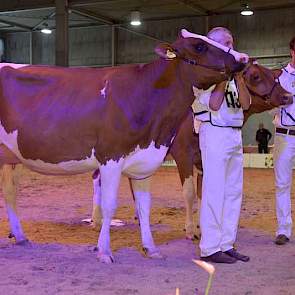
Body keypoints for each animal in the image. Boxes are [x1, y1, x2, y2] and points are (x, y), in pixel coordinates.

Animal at [0, 30, 249, 264]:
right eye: (199, 46)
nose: (243, 57)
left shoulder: (144, 161)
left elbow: (144, 207)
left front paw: (151, 249)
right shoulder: (110, 157)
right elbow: (109, 205)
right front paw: (104, 251)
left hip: (11, 157)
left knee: (10, 192)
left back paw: (20, 236)